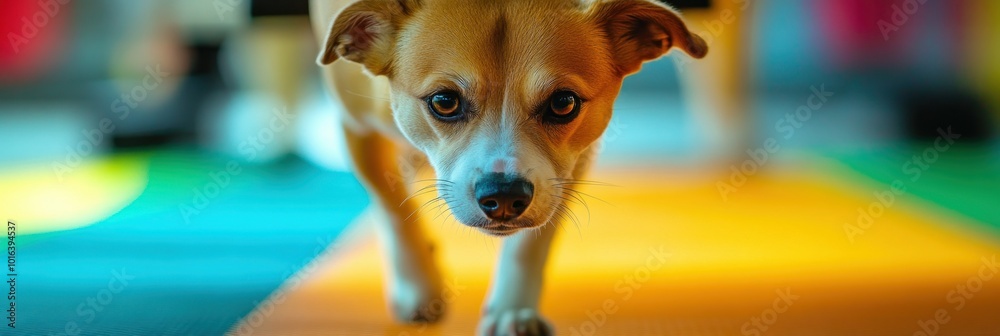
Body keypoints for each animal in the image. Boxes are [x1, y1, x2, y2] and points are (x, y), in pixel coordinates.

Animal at [308, 1, 708, 334]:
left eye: (564, 103)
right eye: (444, 101)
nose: (502, 197)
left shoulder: (572, 160)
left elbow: (532, 241)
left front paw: (512, 311)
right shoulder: (355, 129)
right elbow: (394, 207)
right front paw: (417, 288)